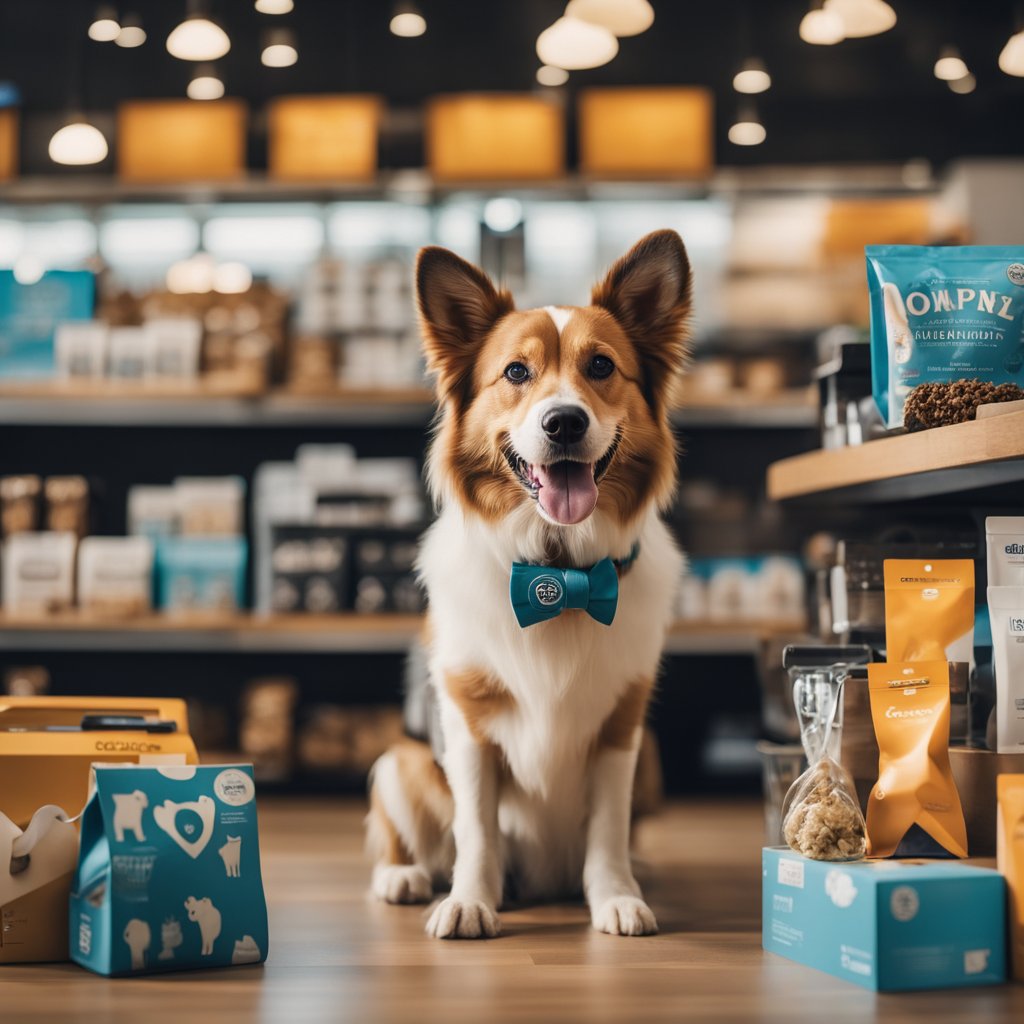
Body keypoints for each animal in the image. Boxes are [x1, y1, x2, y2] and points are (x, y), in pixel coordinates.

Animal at [364, 230, 692, 937]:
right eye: (516, 373)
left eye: (601, 366)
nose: (563, 422)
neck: (559, 571)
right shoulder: (466, 722)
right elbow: (477, 828)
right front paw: (470, 901)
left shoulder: (622, 725)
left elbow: (608, 828)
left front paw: (616, 895)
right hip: (401, 760)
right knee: (405, 833)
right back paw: (405, 877)